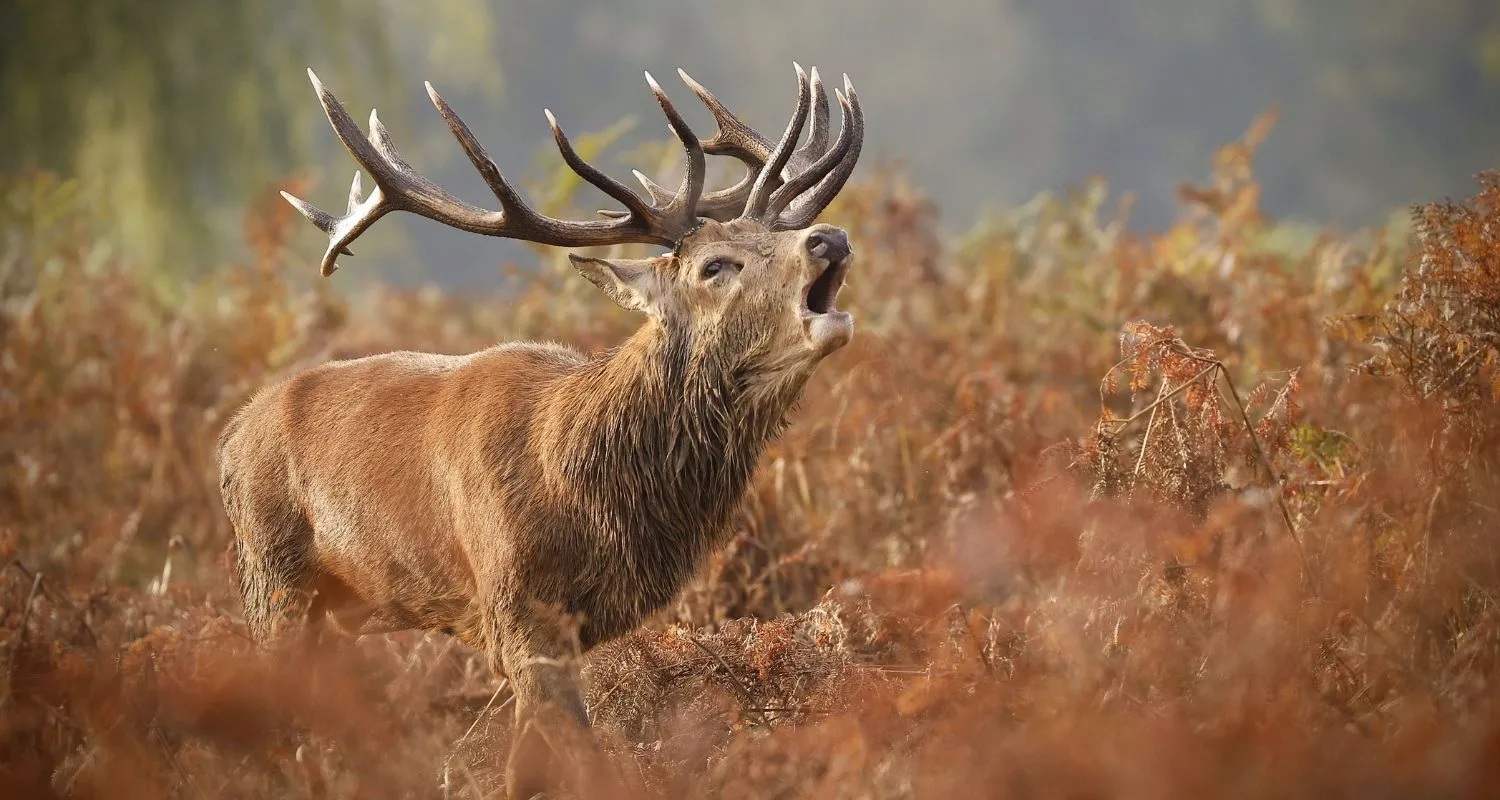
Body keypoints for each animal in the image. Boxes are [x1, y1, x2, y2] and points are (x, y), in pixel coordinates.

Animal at [217, 62, 863, 798]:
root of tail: (230, 436)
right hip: (271, 577)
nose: (829, 239)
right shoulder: (517, 612)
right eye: (715, 265)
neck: (584, 495)